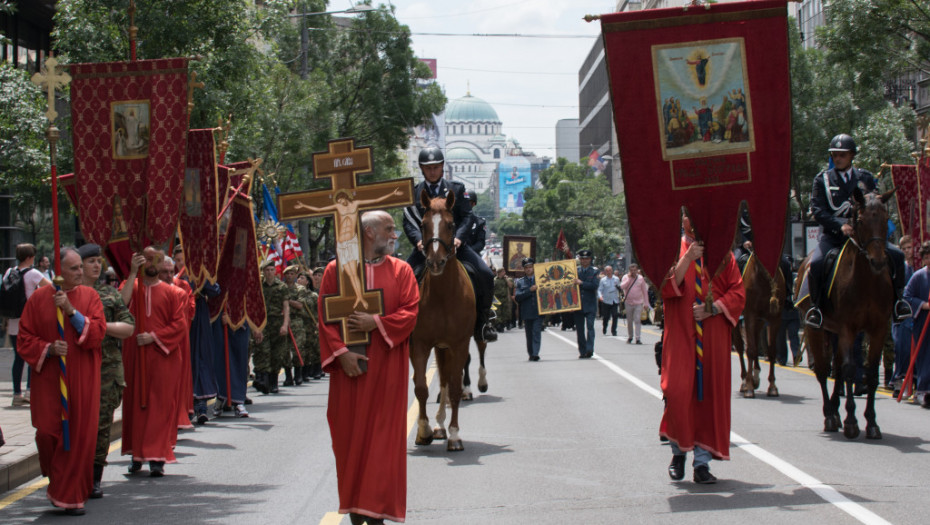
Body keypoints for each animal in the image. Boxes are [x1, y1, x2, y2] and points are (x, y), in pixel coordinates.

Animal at [732, 254, 784, 398]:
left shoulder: (775, 317)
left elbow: (772, 351)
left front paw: (772, 386)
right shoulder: (750, 315)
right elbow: (750, 350)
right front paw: (749, 387)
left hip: (760, 322)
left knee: (754, 340)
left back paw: (755, 376)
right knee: (740, 347)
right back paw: (745, 381)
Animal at [792, 188, 896, 438]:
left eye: (885, 219)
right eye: (861, 220)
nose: (878, 261)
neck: (867, 282)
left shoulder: (878, 328)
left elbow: (869, 372)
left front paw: (872, 422)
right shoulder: (848, 328)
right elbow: (850, 370)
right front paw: (851, 421)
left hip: (835, 332)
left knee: (836, 368)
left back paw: (836, 411)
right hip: (815, 329)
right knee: (823, 370)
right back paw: (830, 416)